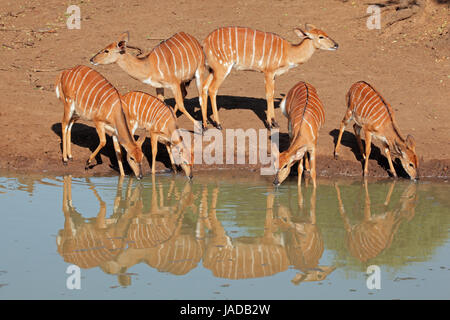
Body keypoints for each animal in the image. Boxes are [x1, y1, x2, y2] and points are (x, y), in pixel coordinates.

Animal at [201, 24, 338, 129]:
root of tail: (205, 42)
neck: (288, 52)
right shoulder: (268, 72)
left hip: (213, 70)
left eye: (326, 33)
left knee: (204, 87)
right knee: (212, 89)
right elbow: (269, 95)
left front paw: (275, 122)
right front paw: (270, 124)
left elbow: (272, 93)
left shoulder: (274, 75)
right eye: (321, 36)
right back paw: (218, 124)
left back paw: (205, 123)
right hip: (222, 68)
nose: (336, 44)